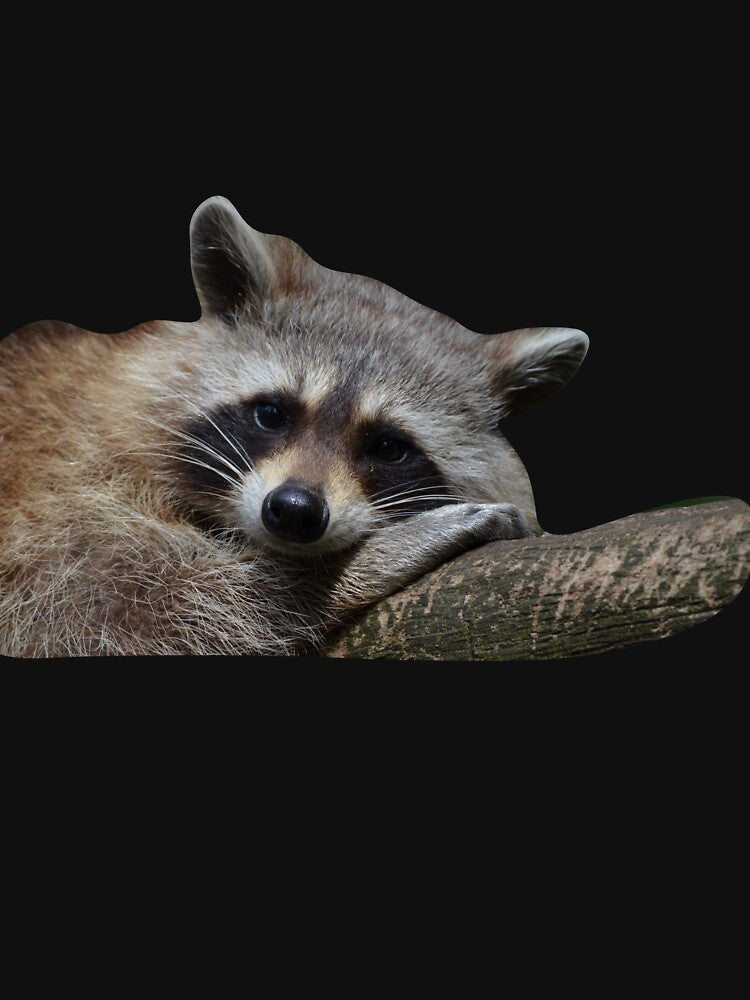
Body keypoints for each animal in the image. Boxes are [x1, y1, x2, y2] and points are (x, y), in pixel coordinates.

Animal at [0, 197, 588, 657]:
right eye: (272, 414)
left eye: (388, 447)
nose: (295, 510)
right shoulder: (62, 495)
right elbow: (131, 613)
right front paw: (356, 565)